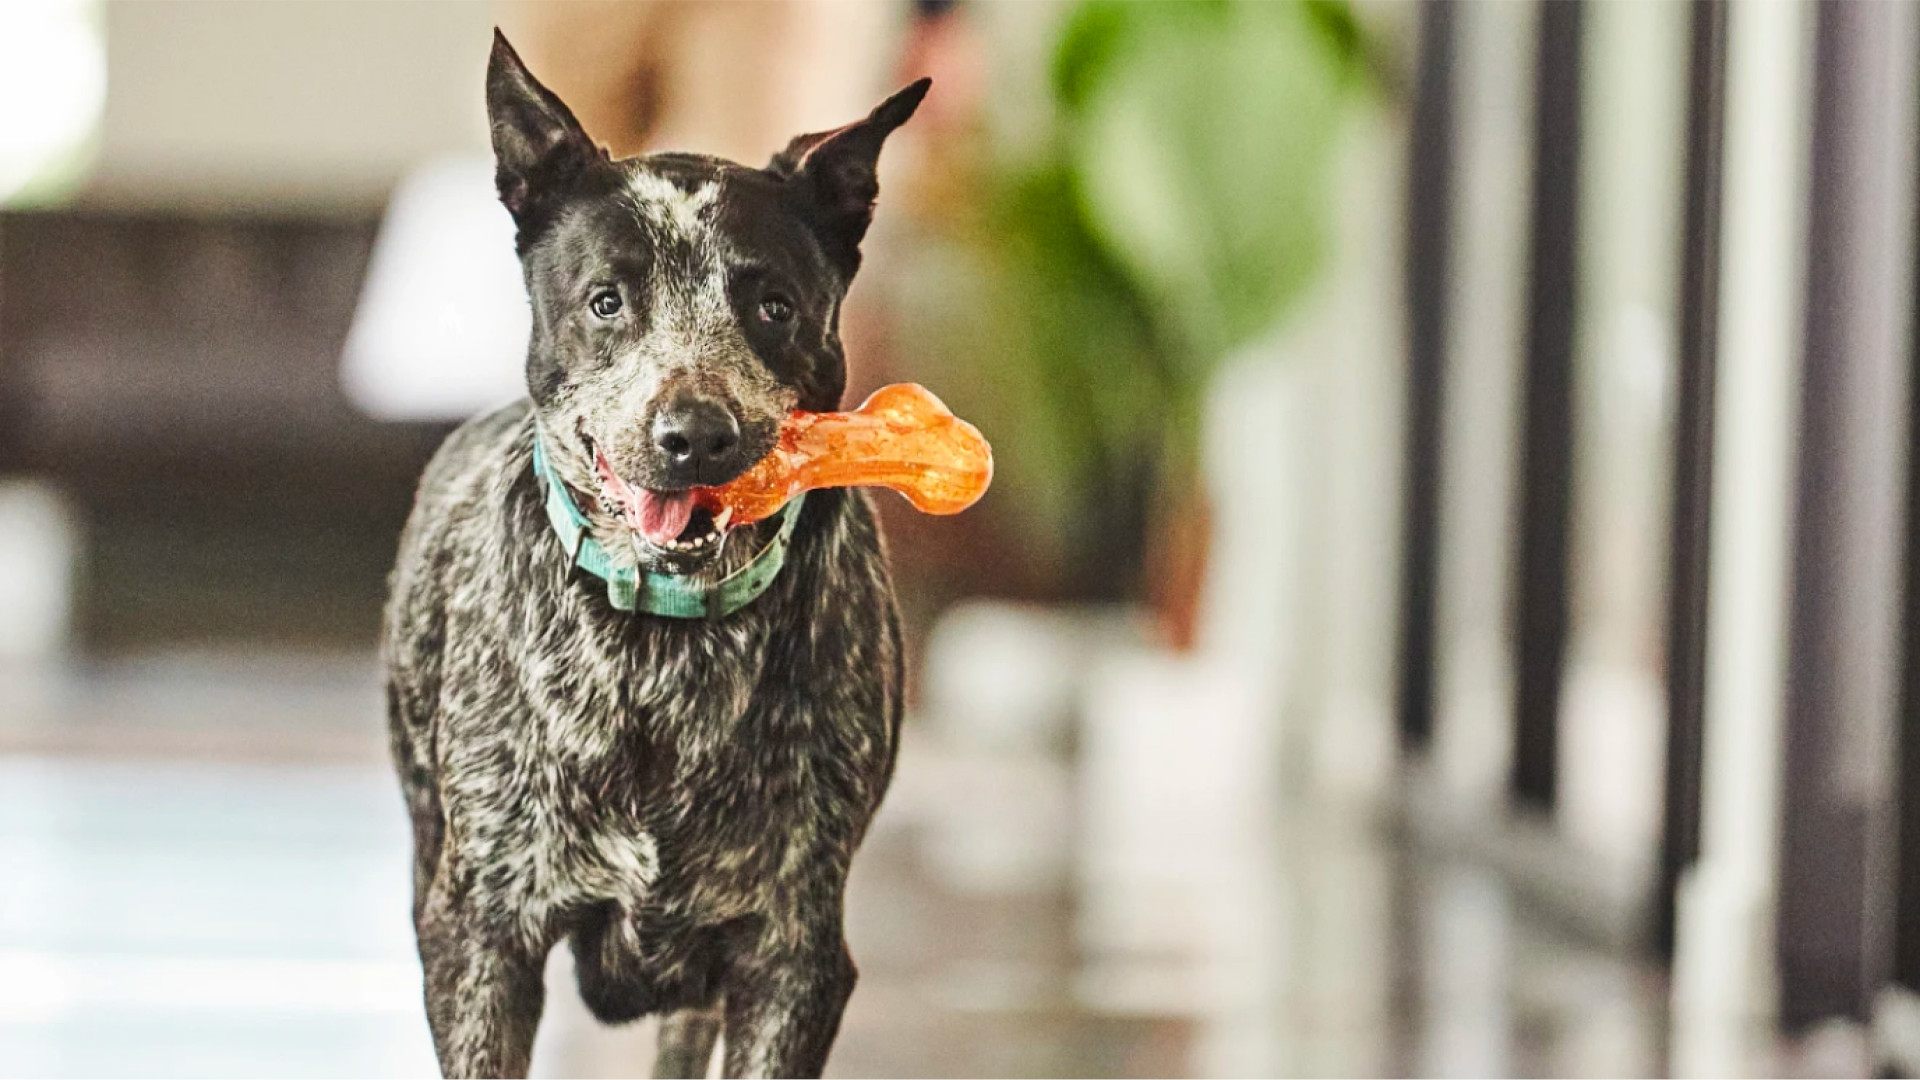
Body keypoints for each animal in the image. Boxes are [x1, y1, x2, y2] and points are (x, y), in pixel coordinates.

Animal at [384, 33, 921, 1076]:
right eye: (606, 301)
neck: (663, 646)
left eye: (773, 307)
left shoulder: (791, 958)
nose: (696, 435)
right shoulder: (480, 942)